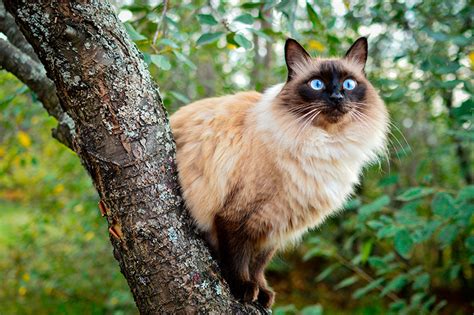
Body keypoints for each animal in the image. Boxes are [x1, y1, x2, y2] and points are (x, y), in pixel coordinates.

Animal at [170, 36, 388, 308]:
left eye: (349, 84)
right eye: (317, 84)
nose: (337, 96)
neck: (325, 145)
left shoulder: (274, 223)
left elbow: (258, 265)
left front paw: (262, 292)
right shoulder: (237, 217)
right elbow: (238, 259)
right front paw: (243, 288)